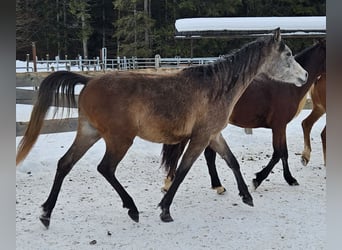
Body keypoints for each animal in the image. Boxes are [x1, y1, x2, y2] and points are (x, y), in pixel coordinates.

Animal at [162, 39, 324, 192]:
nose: (305, 75)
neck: (287, 86)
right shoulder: (279, 126)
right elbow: (278, 153)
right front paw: (258, 180)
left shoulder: (280, 127)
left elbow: (283, 153)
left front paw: (289, 178)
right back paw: (170, 184)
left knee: (208, 155)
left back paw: (217, 185)